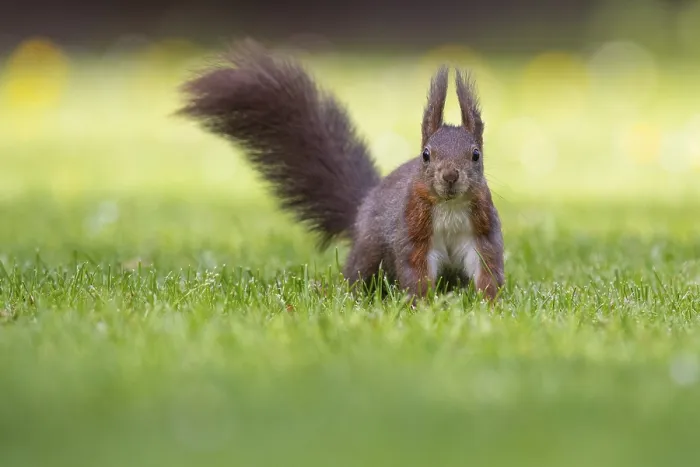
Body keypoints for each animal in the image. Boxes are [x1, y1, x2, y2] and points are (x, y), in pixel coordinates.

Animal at [178, 39, 505, 302]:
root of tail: (363, 206)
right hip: (369, 249)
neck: (449, 207)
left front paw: (489, 306)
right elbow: (416, 270)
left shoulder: (482, 232)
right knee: (358, 273)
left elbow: (487, 269)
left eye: (475, 155)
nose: (450, 176)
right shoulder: (412, 233)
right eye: (425, 155)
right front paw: (421, 306)